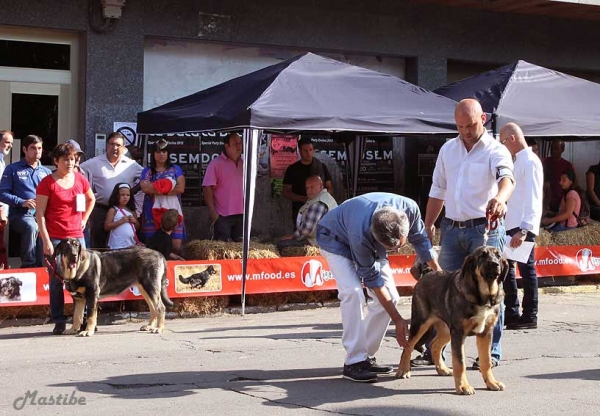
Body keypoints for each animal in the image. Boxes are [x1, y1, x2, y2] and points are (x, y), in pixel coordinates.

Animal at [396, 245, 508, 394]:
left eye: (498, 256)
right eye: (482, 256)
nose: (495, 264)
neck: (483, 296)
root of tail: (426, 275)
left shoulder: (486, 333)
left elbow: (486, 361)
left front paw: (491, 383)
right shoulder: (459, 333)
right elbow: (460, 362)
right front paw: (463, 387)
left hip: (446, 330)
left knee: (434, 345)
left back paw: (442, 369)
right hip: (421, 323)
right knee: (408, 346)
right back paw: (403, 370)